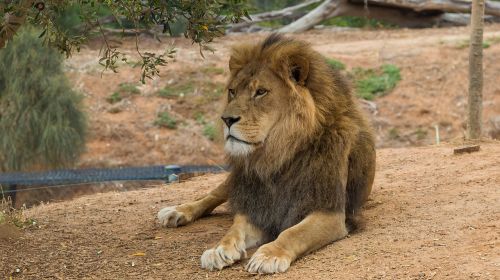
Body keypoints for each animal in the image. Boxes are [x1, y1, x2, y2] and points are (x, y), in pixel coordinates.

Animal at [157, 34, 376, 274]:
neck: (276, 156)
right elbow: (234, 229)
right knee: (213, 195)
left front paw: (270, 255)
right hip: (237, 180)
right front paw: (218, 249)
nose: (226, 119)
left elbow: (292, 233)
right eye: (232, 92)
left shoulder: (330, 211)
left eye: (261, 92)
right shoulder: (256, 204)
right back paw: (176, 212)